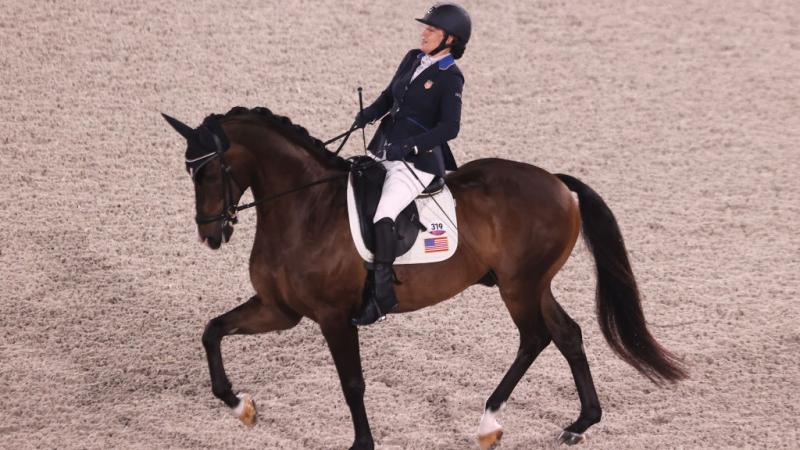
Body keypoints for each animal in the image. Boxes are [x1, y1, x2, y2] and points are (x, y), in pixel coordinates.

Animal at [162, 107, 688, 448]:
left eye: (208, 174)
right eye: (190, 175)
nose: (210, 235)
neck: (304, 208)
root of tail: (558, 183)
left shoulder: (334, 316)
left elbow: (352, 382)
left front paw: (362, 444)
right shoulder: (280, 310)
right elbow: (213, 331)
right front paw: (240, 406)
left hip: (519, 286)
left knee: (535, 338)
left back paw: (489, 422)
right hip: (533, 284)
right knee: (567, 334)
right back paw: (580, 423)